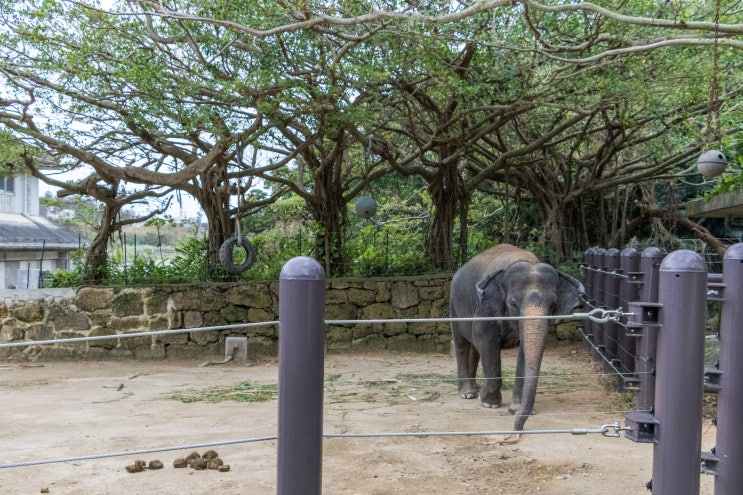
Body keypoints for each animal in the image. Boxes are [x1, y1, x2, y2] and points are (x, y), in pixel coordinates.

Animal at [450, 244, 584, 430]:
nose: (518, 426)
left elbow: (524, 351)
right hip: (453, 305)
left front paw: (515, 409)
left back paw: (474, 389)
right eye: (513, 303)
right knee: (462, 344)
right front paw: (488, 403)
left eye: (552, 305)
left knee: (474, 349)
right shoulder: (485, 309)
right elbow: (486, 341)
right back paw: (468, 394)